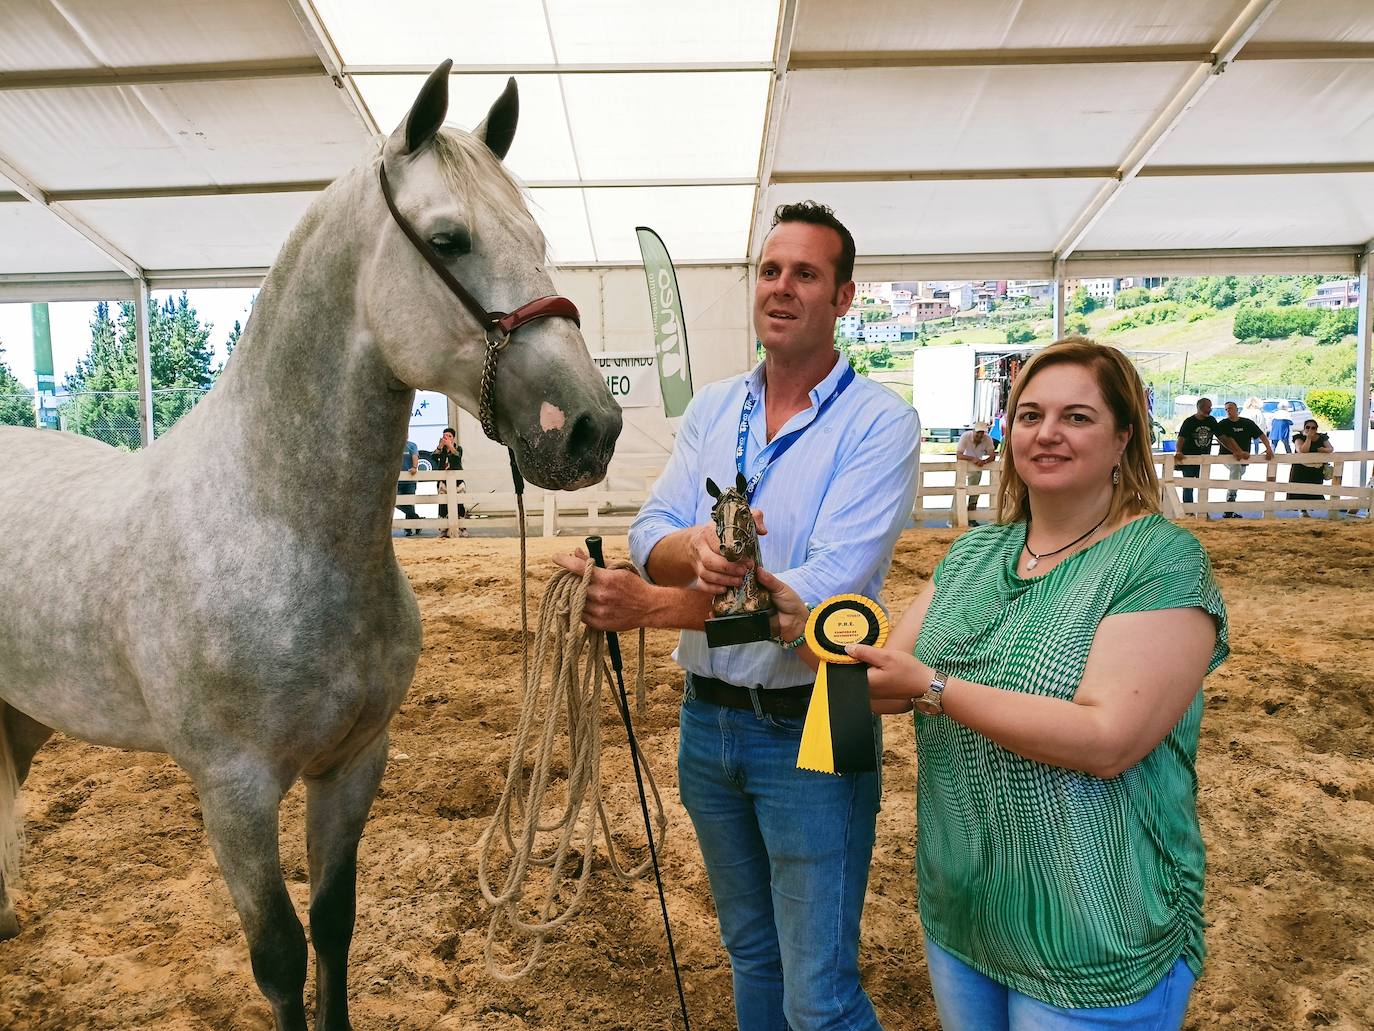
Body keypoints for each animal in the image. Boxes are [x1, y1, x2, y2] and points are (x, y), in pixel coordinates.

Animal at [0, 63, 621, 1031]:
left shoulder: (352, 765)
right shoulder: (235, 794)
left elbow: (334, 921)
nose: (592, 427)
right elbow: (280, 954)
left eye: (536, 238)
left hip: (20, 719)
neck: (278, 524)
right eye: (449, 239)